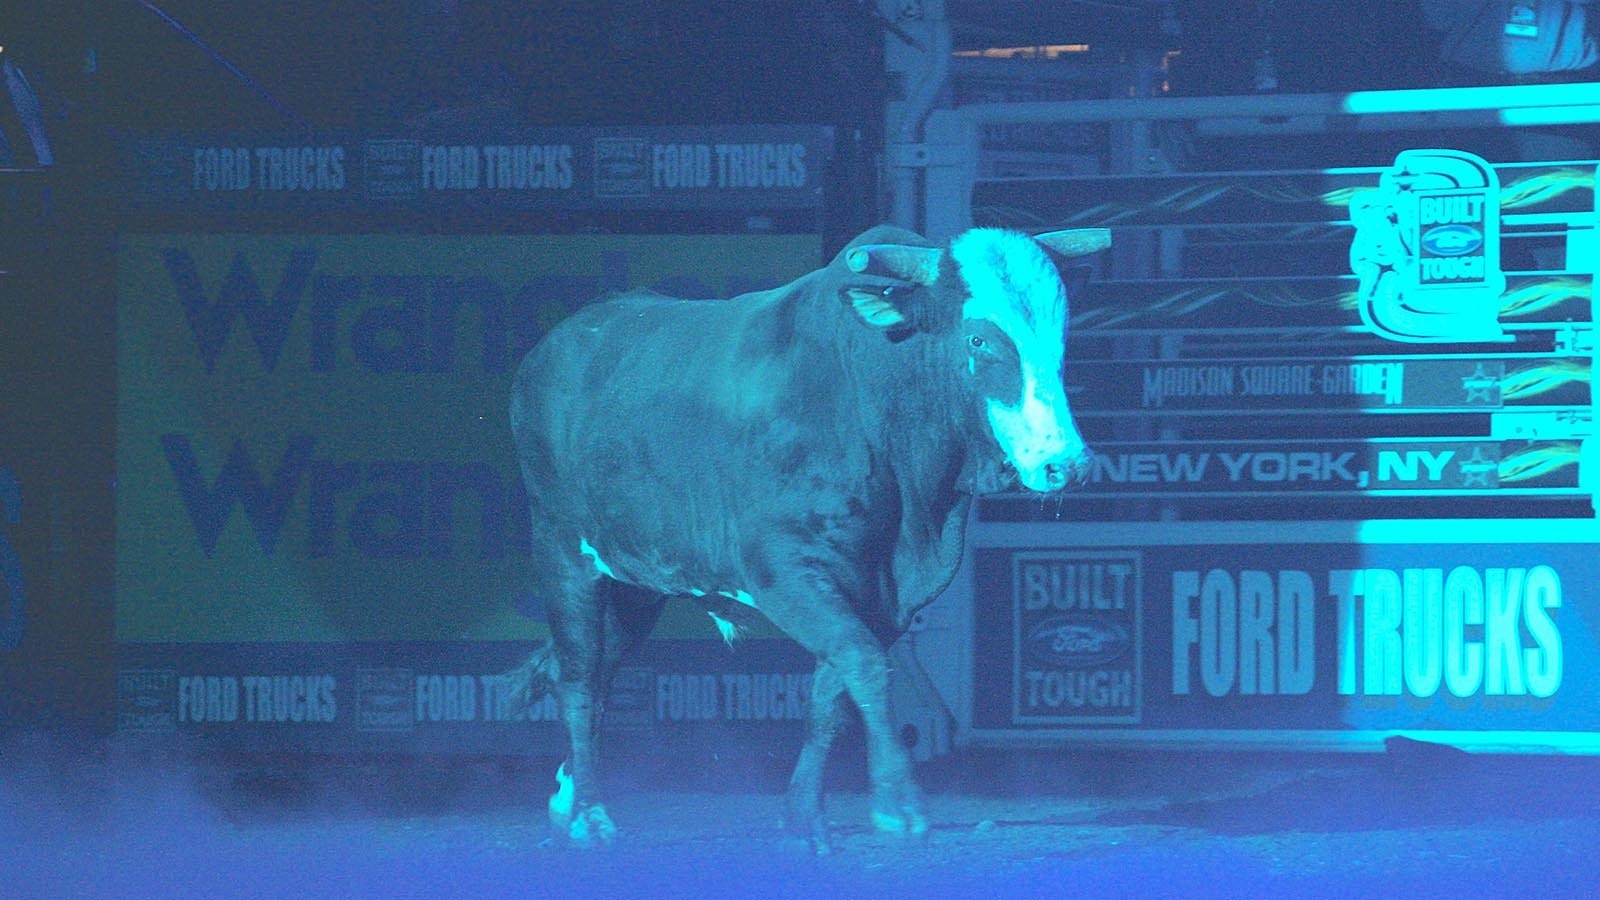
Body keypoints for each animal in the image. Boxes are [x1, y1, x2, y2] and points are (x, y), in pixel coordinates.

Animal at [505, 222, 1107, 845]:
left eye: (1061, 338)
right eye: (979, 340)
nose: (1068, 465)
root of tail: (553, 347)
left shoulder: (884, 593)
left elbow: (829, 695)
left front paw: (804, 812)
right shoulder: (785, 570)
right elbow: (863, 663)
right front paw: (897, 801)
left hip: (634, 584)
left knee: (599, 675)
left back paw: (569, 798)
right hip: (563, 555)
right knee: (579, 680)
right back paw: (592, 812)